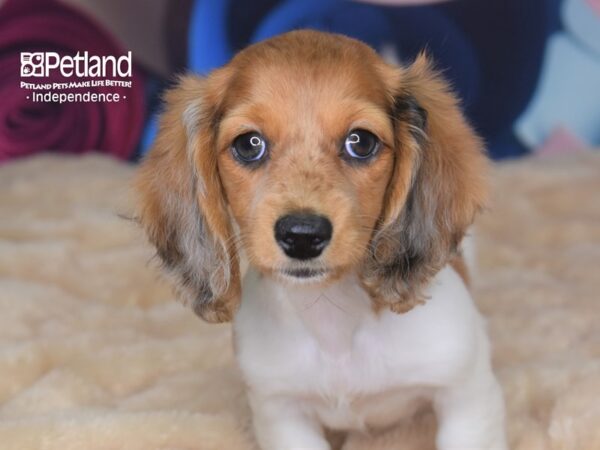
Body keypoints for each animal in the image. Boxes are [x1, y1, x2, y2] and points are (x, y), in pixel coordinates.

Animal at [135, 29, 506, 448]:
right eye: (249, 144)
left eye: (361, 142)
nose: (301, 235)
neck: (335, 324)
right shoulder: (281, 411)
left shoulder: (467, 395)